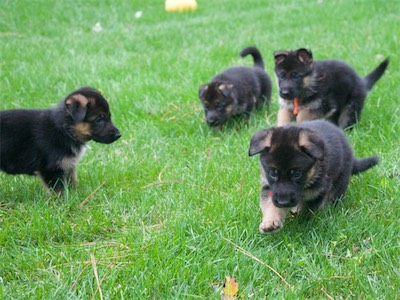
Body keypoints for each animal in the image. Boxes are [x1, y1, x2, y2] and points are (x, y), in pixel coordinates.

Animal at [248, 119, 380, 232]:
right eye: (272, 173)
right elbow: (270, 205)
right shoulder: (269, 188)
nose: (283, 202)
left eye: (297, 174)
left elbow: (306, 211)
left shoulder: (317, 193)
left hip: (340, 180)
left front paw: (301, 223)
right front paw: (270, 222)